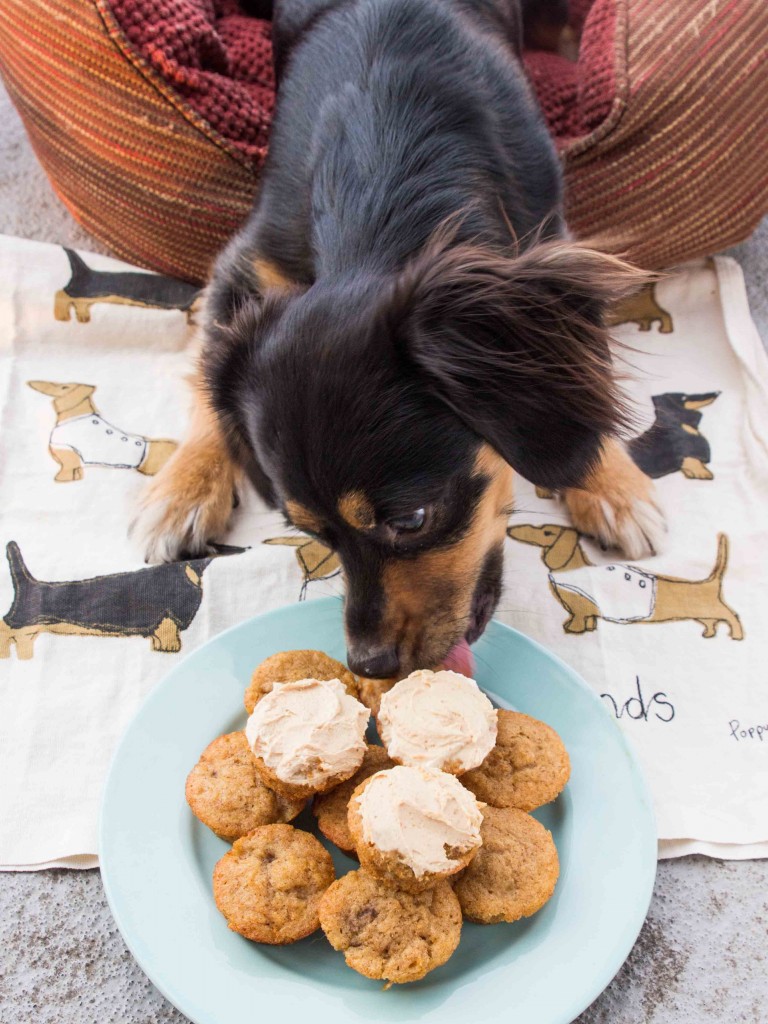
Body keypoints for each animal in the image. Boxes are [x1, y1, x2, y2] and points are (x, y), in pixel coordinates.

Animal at [54, 247, 204, 323]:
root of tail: (86, 270)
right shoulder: (183, 303)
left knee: (79, 303)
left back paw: (83, 316)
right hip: (86, 291)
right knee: (61, 293)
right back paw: (61, 315)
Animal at [132, 0, 663, 679]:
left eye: (410, 520)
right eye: (313, 534)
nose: (369, 665)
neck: (386, 172)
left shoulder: (551, 239)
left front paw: (613, 484)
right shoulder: (247, 264)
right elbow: (207, 377)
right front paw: (183, 487)